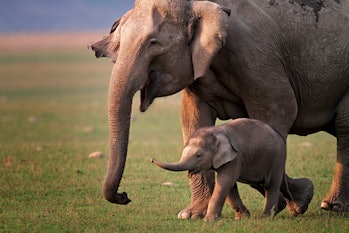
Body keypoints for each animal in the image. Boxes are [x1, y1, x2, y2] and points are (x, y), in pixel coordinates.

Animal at [151, 118, 292, 220]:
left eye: (198, 155)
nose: (151, 159)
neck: (216, 131)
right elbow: (229, 185)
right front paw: (241, 218)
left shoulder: (235, 157)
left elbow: (225, 181)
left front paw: (209, 220)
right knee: (259, 184)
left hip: (277, 158)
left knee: (271, 185)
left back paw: (266, 217)